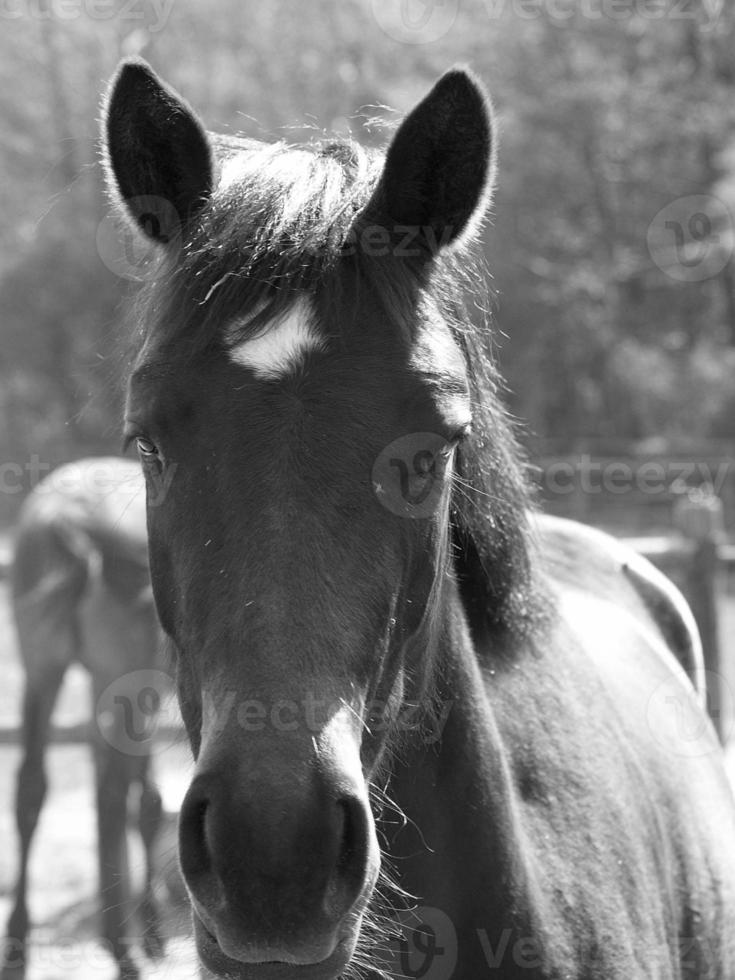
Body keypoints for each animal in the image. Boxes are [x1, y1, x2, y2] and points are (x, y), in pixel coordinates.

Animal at [2, 460, 166, 980]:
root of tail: (67, 517)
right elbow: (147, 801)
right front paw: (151, 929)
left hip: (43, 669)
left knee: (30, 787)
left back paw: (18, 944)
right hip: (125, 679)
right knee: (113, 797)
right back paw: (122, 948)